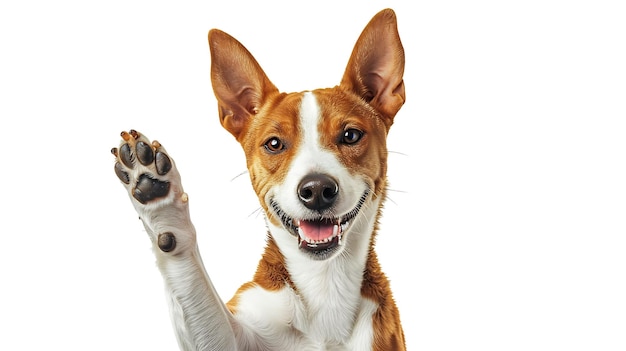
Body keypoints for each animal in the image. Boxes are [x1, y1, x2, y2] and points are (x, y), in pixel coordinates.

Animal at [111, 8, 404, 351]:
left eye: (351, 135)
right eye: (274, 144)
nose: (317, 189)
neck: (323, 283)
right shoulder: (231, 337)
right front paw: (161, 204)